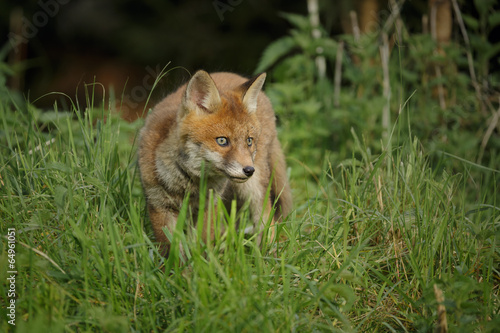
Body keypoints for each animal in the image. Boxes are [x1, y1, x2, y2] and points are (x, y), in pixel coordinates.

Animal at [138, 70, 292, 256]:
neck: (189, 182)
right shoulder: (159, 204)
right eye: (222, 141)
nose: (249, 170)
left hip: (253, 188)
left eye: (249, 141)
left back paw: (267, 255)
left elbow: (203, 244)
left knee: (267, 218)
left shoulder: (209, 204)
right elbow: (172, 250)